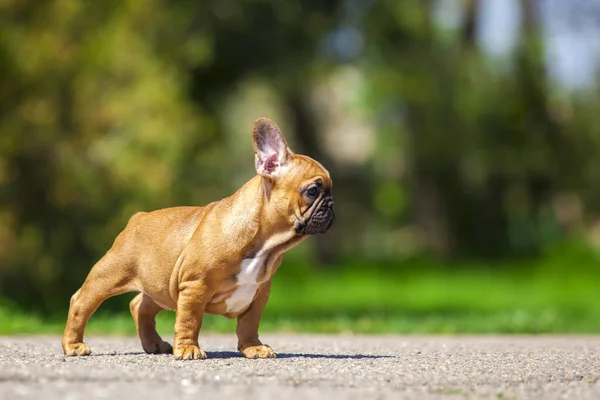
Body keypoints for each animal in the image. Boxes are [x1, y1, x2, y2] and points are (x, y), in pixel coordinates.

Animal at [62, 118, 336, 360]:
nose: (333, 206)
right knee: (81, 301)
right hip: (110, 274)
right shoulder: (195, 287)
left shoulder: (259, 293)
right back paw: (74, 345)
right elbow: (190, 321)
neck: (264, 244)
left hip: (162, 284)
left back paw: (153, 344)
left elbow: (249, 323)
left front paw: (253, 348)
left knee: (140, 306)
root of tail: (137, 218)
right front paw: (188, 349)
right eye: (313, 191)